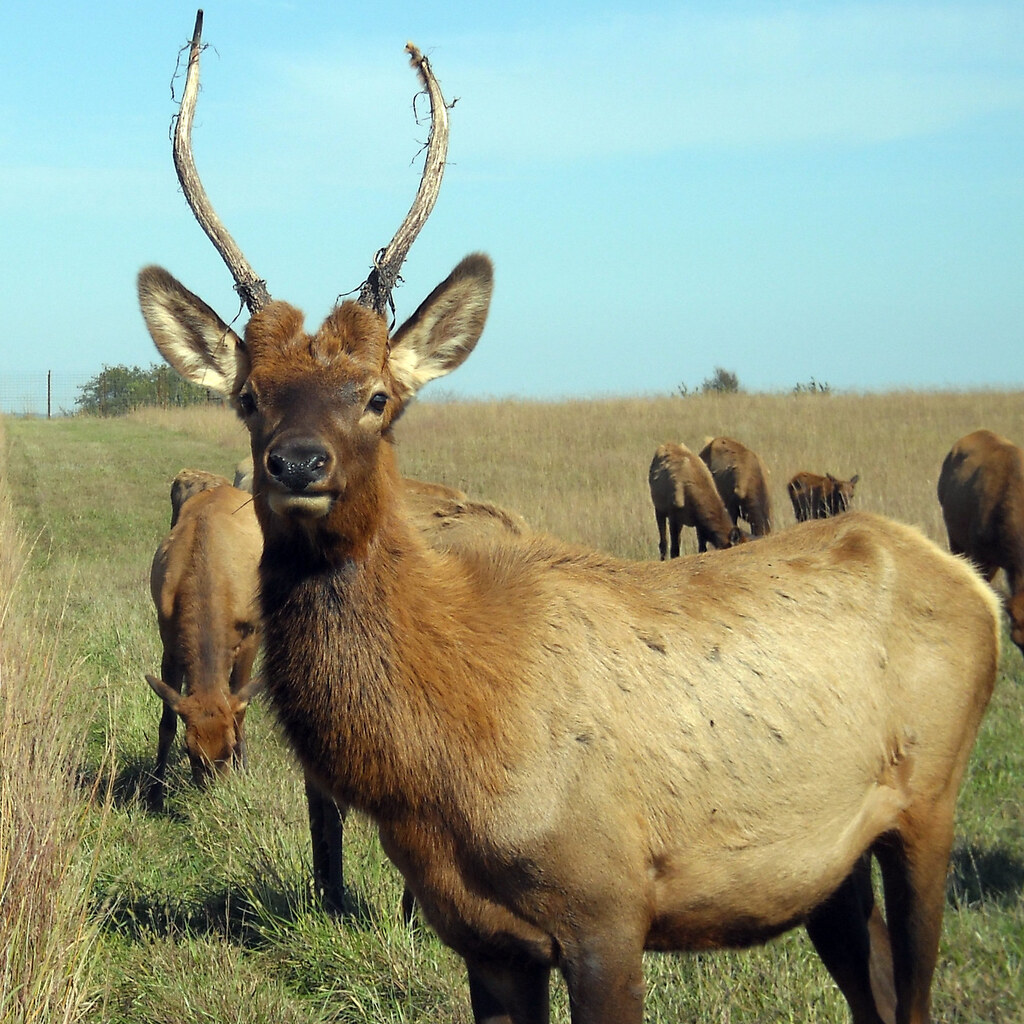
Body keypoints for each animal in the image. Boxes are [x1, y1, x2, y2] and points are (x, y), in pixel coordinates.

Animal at [136, 13, 1000, 1023]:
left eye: (379, 396)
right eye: (249, 396)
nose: (299, 463)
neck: (450, 765)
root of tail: (974, 589)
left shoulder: (607, 905)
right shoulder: (483, 936)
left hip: (929, 800)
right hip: (829, 866)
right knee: (874, 983)